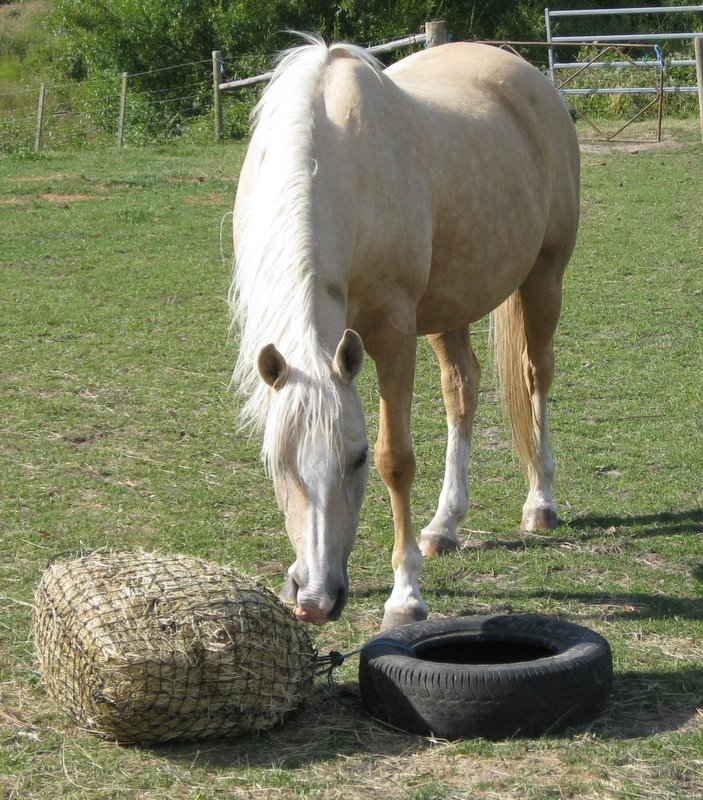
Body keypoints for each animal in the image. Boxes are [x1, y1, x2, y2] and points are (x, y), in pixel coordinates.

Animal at [230, 36, 580, 630]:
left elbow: (397, 459)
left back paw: (540, 502)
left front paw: (405, 596)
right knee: (462, 388)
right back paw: (444, 526)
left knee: (537, 377)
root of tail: (527, 73)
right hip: (448, 306)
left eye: (355, 459)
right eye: (277, 463)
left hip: (544, 278)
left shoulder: (393, 333)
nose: (316, 600)